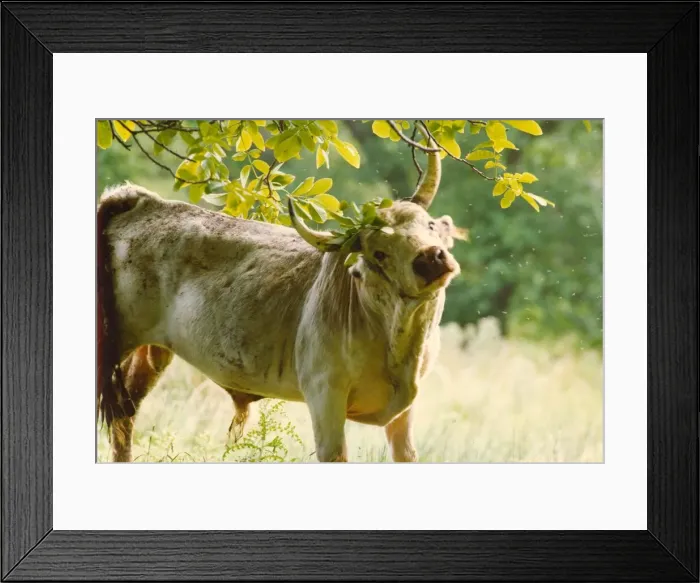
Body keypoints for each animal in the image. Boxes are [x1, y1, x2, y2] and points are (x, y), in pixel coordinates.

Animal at [97, 128, 462, 462]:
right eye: (380, 252)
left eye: (429, 225)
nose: (431, 258)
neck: (396, 340)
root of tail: (143, 202)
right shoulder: (324, 398)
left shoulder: (404, 413)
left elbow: (406, 454)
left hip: (151, 353)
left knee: (124, 415)